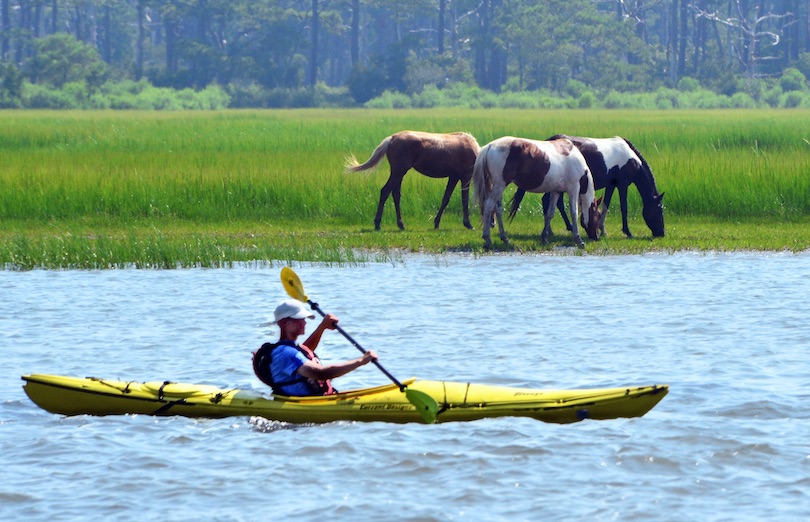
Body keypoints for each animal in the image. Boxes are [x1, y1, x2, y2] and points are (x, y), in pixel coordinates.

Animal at [342, 129, 480, 229]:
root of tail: (392, 138)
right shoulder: (465, 176)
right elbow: (464, 199)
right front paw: (468, 224)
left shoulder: (453, 177)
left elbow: (445, 199)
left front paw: (436, 223)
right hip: (398, 172)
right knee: (385, 191)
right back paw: (378, 224)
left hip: (398, 173)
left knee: (395, 195)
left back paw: (401, 224)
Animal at [508, 133, 664, 237]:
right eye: (660, 210)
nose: (661, 233)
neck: (631, 158)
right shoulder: (622, 184)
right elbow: (623, 208)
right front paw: (628, 232)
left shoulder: (611, 185)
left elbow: (606, 205)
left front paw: (602, 230)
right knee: (549, 201)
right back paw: (558, 229)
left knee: (554, 203)